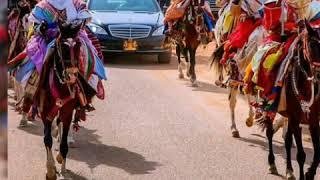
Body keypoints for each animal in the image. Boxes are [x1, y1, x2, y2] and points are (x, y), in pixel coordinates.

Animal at [34, 20, 96, 179]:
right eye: (61, 46)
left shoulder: (67, 112)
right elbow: (47, 139)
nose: (71, 76)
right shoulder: (45, 112)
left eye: (78, 45)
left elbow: (64, 144)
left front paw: (61, 162)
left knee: (60, 124)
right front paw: (50, 170)